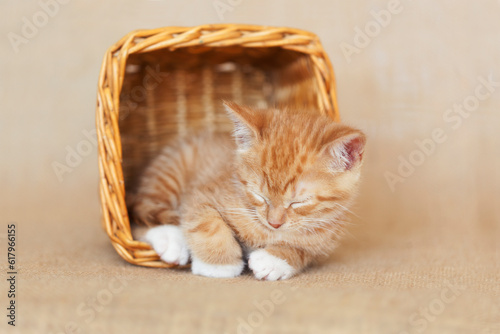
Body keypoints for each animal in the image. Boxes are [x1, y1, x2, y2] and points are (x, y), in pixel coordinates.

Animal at [132, 102, 368, 280]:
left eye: (299, 202)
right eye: (259, 195)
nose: (274, 223)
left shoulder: (326, 240)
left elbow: (303, 250)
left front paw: (274, 260)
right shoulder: (201, 193)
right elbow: (208, 223)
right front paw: (218, 265)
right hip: (169, 176)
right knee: (140, 216)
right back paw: (171, 240)